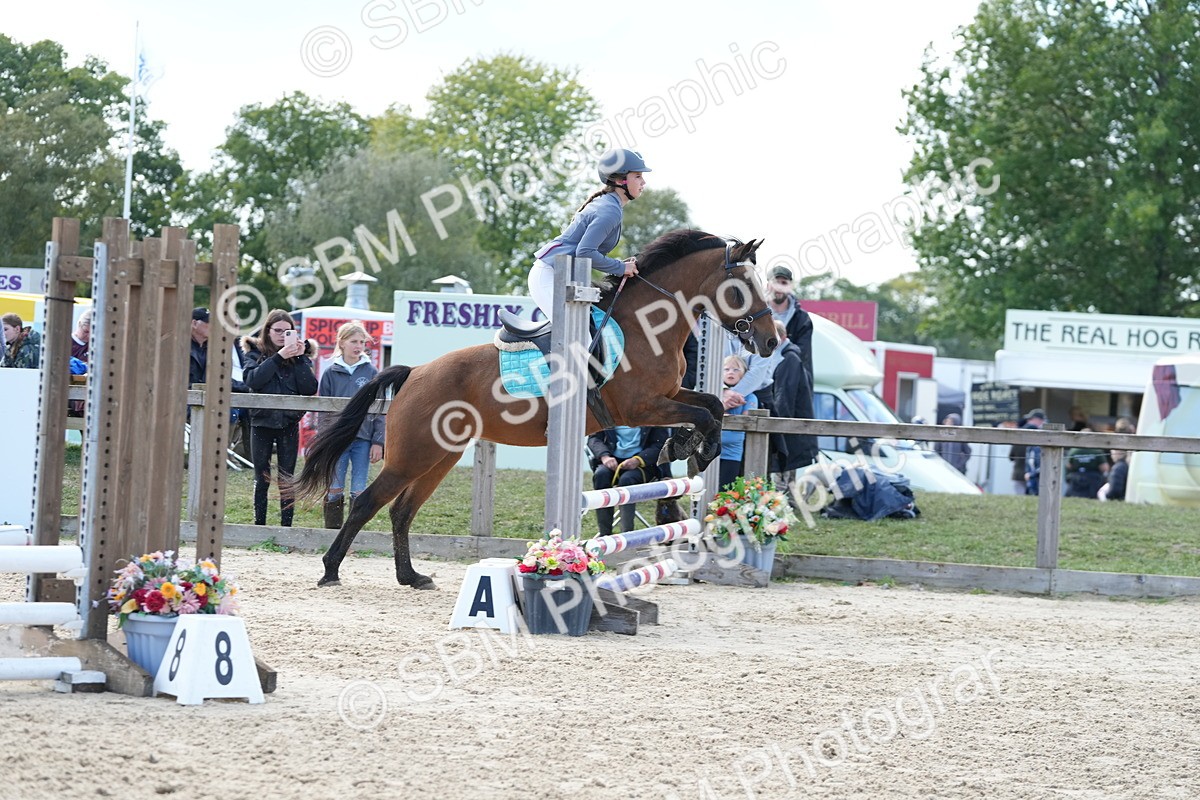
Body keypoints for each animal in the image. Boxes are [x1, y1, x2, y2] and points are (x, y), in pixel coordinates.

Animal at [292, 229, 778, 589]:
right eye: (742, 288)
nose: (772, 341)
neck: (648, 327)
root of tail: (412, 372)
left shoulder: (670, 394)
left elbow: (712, 406)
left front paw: (683, 447)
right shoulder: (641, 407)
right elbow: (703, 414)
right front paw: (690, 448)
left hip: (440, 456)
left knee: (400, 510)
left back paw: (410, 576)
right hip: (413, 455)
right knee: (368, 502)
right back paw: (331, 570)